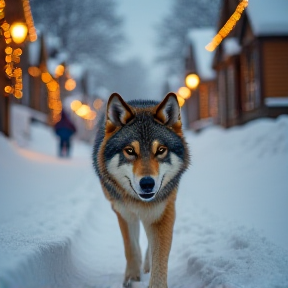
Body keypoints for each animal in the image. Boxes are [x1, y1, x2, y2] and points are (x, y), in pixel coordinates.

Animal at [92, 93, 190, 288]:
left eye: (161, 150)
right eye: (130, 151)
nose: (147, 183)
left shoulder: (162, 212)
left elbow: (159, 255)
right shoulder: (123, 212)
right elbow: (131, 247)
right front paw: (131, 278)